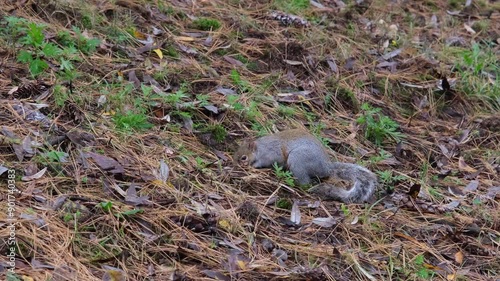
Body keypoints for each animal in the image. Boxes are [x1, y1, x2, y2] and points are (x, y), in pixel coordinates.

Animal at [234, 128, 378, 202]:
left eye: (243, 157)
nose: (235, 163)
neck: (260, 149)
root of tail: (326, 168)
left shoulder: (272, 154)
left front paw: (253, 166)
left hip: (298, 159)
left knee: (305, 183)